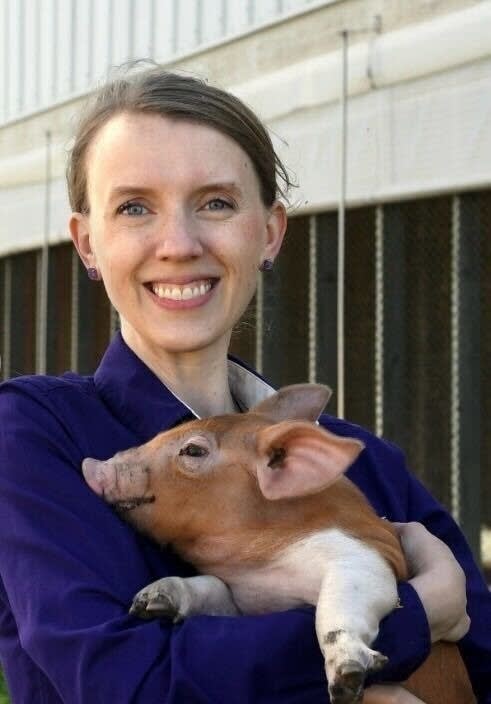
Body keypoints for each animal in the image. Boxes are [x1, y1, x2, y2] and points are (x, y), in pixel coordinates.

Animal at [82, 383, 475, 704]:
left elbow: (341, 598)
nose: (92, 463)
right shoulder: (244, 602)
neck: (262, 567)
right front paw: (149, 602)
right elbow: (211, 588)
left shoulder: (365, 554)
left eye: (192, 450)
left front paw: (347, 678)